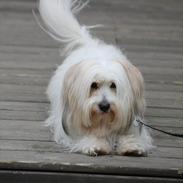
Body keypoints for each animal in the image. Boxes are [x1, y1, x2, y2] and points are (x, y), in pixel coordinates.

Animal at [38, 0, 153, 156]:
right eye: (93, 85)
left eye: (113, 85)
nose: (104, 106)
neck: (103, 122)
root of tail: (91, 44)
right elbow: (86, 135)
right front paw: (96, 144)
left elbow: (130, 135)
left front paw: (131, 145)